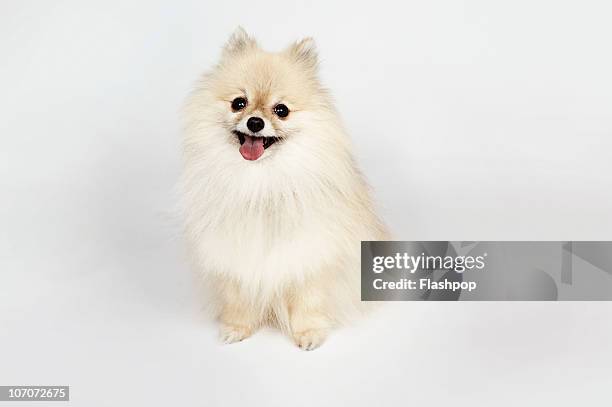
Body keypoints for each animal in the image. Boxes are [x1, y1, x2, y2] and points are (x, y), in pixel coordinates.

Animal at [182, 27, 388, 350]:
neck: (261, 180)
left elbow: (307, 299)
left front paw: (308, 333)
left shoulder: (309, 252)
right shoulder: (232, 250)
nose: (255, 122)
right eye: (238, 103)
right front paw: (237, 328)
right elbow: (238, 297)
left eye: (282, 110)